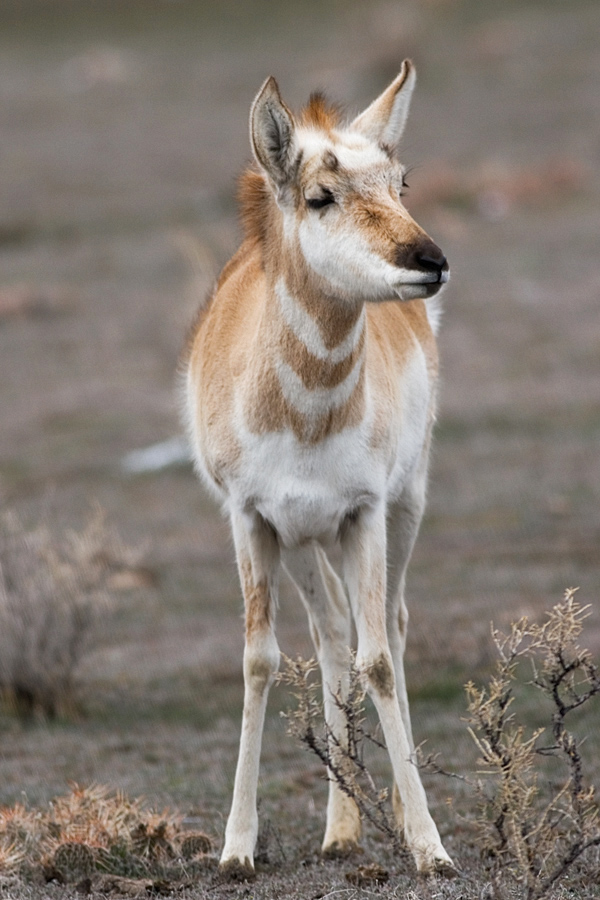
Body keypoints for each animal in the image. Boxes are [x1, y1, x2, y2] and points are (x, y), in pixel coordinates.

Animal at [185, 63, 452, 880]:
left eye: (400, 181)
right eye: (320, 195)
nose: (430, 261)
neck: (304, 414)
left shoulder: (365, 512)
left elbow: (381, 661)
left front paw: (429, 845)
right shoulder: (252, 520)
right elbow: (258, 661)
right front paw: (237, 848)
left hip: (400, 513)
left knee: (386, 626)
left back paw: (383, 808)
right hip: (304, 542)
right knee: (332, 635)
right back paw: (340, 829)